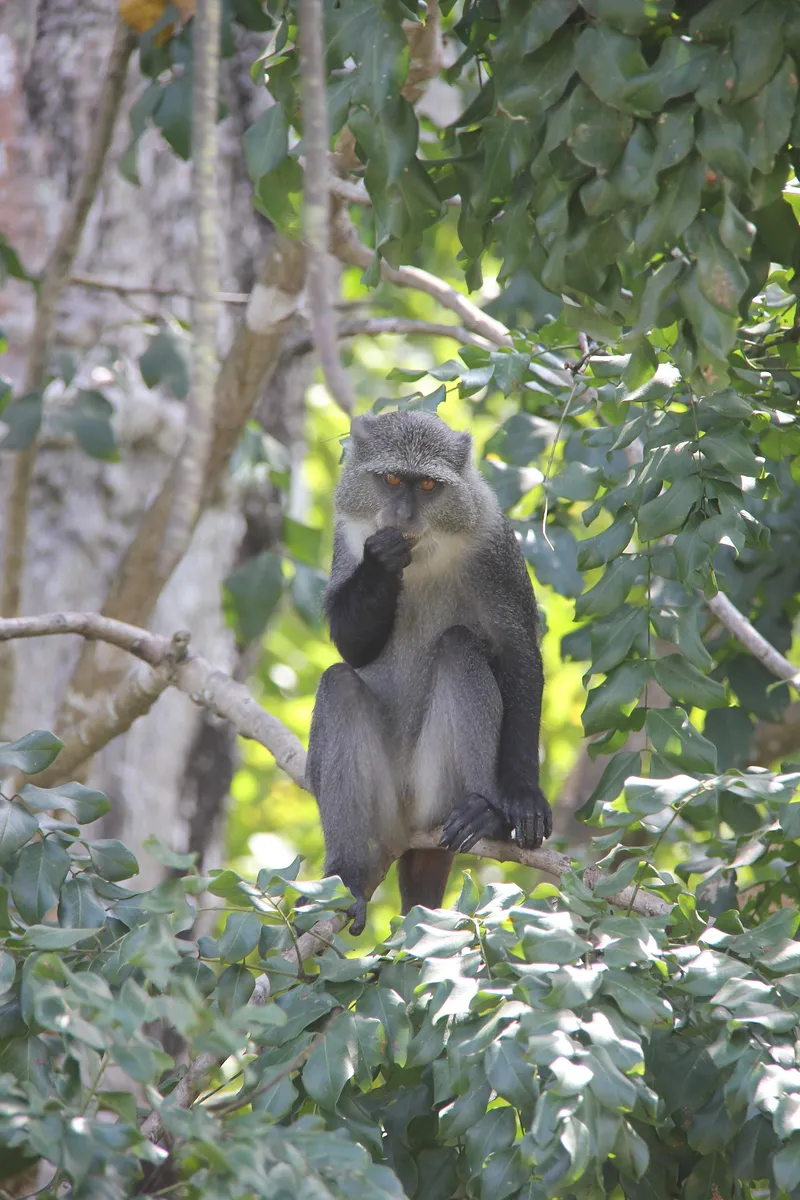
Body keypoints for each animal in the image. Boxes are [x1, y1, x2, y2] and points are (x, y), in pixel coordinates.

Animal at [305, 409, 551, 935]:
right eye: (392, 480)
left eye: (428, 486)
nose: (401, 517)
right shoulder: (346, 535)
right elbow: (352, 651)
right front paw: (380, 563)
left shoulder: (494, 544)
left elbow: (520, 654)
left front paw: (522, 799)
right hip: (382, 812)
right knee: (338, 683)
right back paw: (347, 877)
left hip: (438, 790)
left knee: (459, 647)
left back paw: (486, 815)